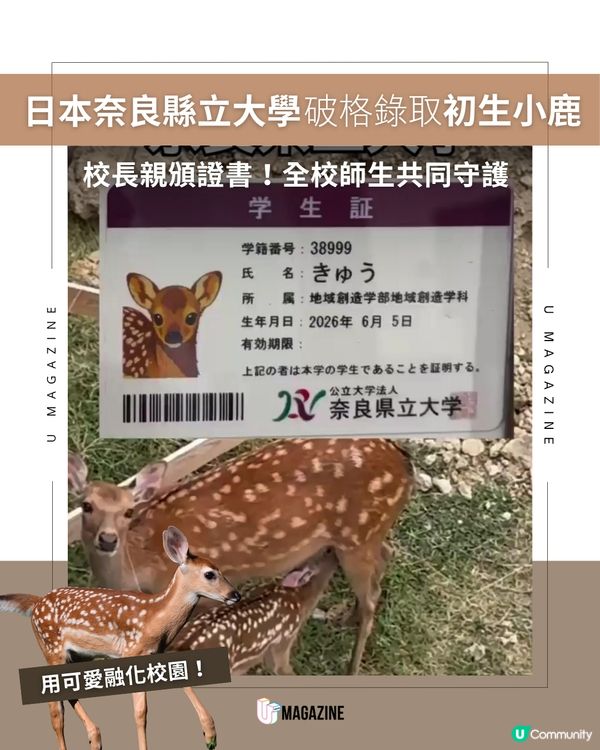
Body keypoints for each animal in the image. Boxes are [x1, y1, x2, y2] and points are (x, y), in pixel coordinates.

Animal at [0, 526, 240, 750]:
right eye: (210, 574)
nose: (235, 595)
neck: (155, 618)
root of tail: (36, 602)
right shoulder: (132, 651)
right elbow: (141, 713)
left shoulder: (158, 652)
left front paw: (210, 735)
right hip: (51, 648)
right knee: (55, 712)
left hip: (77, 655)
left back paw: (95, 738)